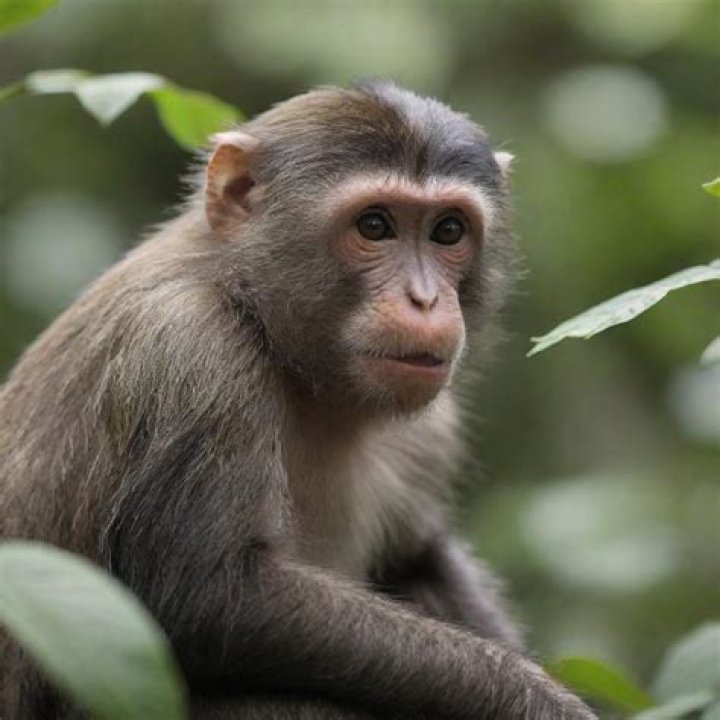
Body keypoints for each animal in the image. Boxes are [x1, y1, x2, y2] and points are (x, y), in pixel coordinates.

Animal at [0, 81, 595, 719]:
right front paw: (536, 699)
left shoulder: (429, 428)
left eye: (448, 232)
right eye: (375, 225)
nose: (425, 300)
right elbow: (208, 598)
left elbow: (419, 557)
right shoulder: (188, 351)